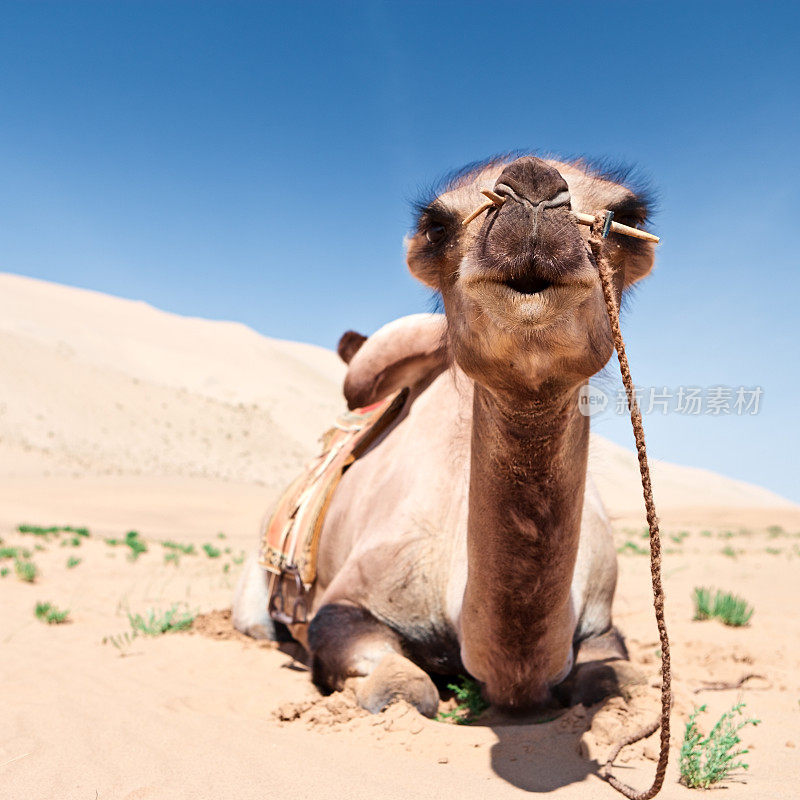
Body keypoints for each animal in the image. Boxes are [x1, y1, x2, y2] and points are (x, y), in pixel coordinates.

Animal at [233, 153, 656, 716]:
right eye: (436, 226)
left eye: (627, 219)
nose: (533, 188)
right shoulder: (346, 605)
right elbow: (401, 688)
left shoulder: (601, 624)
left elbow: (620, 680)